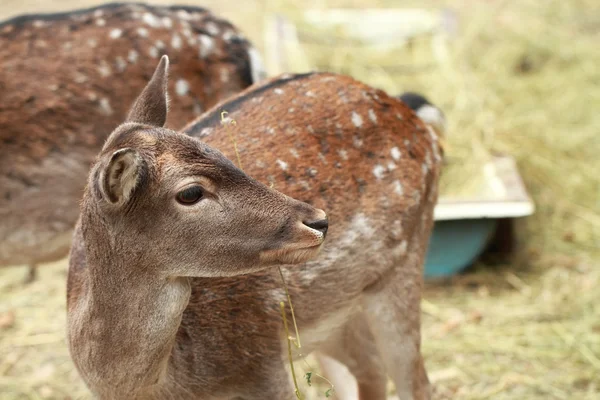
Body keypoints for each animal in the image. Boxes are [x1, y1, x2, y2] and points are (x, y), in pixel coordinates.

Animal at [67, 57, 446, 400]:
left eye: (222, 155)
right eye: (190, 192)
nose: (318, 221)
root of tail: (404, 107)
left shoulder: (263, 367)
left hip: (404, 260)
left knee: (414, 379)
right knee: (369, 369)